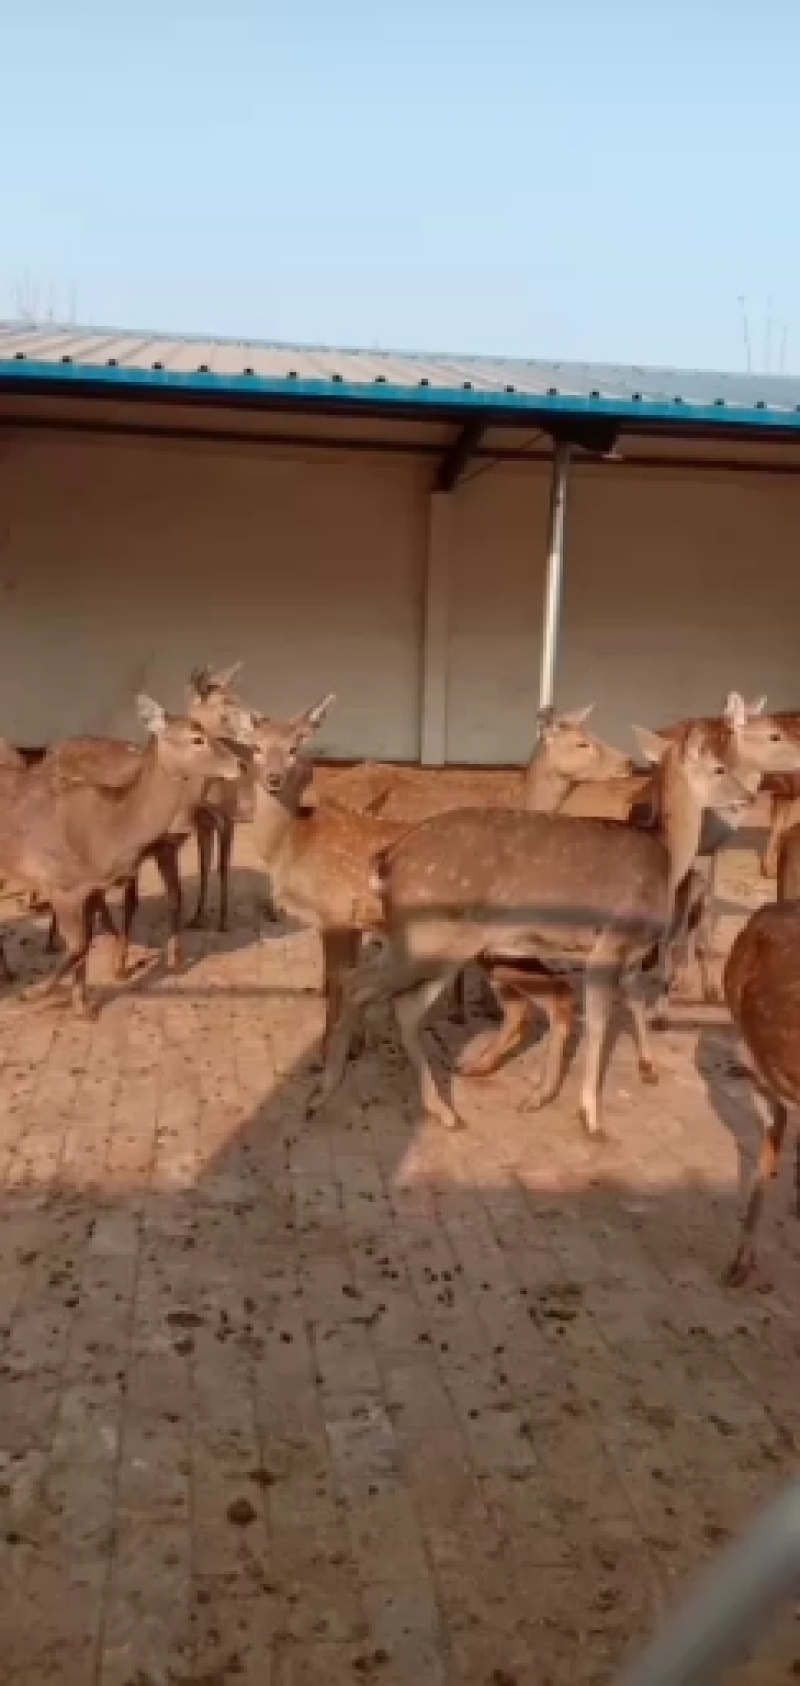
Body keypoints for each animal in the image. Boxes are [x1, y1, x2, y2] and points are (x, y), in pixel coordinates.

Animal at [0, 696, 242, 1014]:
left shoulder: (90, 889)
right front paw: (34, 993)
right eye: (196, 738)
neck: (110, 831)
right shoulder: (61, 885)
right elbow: (79, 945)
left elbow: (85, 944)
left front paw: (82, 1005)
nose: (240, 763)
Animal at [306, 726, 750, 1135]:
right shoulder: (610, 942)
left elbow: (631, 1002)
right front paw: (591, 1118)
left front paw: (641, 1070)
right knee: (357, 983)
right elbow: (599, 1024)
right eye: (720, 767)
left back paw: (443, 1109)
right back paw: (326, 1091)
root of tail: (385, 860)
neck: (667, 860)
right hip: (429, 940)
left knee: (401, 1005)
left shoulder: (630, 954)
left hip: (439, 947)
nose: (747, 796)